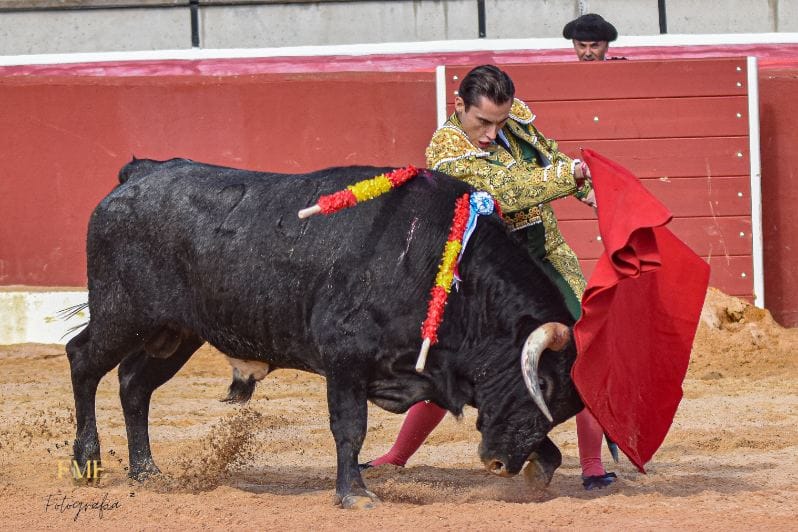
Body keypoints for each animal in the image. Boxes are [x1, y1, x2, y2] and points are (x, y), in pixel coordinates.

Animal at [67, 160, 580, 510]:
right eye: (543, 385)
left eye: (560, 405)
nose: (500, 464)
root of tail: (139, 174)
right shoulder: (345, 361)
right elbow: (350, 428)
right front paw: (355, 495)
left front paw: (540, 470)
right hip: (122, 315)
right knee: (82, 360)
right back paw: (86, 463)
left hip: (174, 333)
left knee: (134, 385)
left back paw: (146, 472)